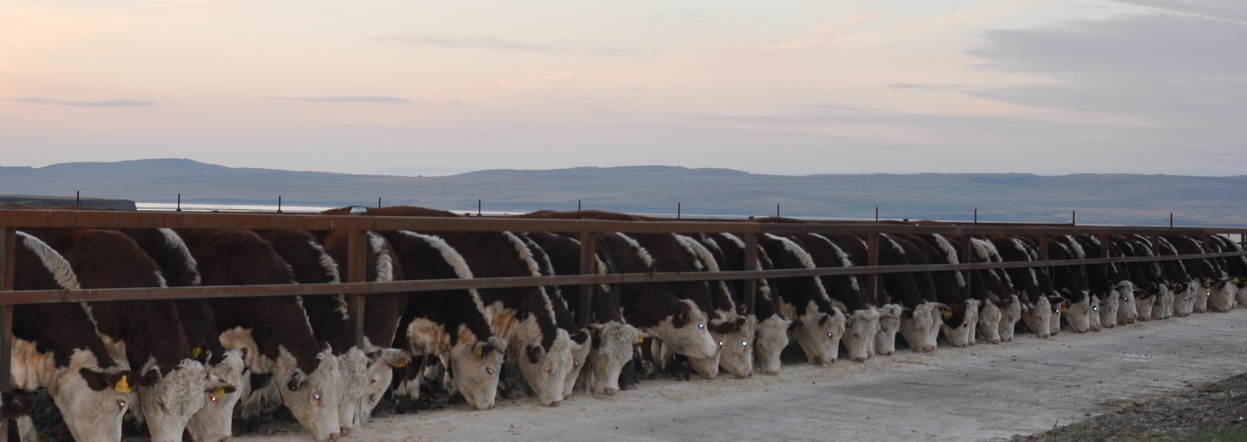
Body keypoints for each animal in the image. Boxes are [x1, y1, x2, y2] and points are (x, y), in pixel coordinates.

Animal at [178, 229, 344, 439]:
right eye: (316, 396)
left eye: (338, 392)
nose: (335, 434)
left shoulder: (263, 344)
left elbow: (259, 378)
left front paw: (250, 413)